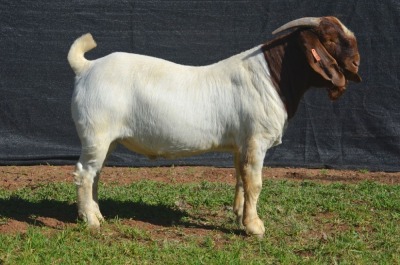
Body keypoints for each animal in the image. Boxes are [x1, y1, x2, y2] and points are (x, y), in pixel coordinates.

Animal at [67, 16, 360, 235]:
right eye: (330, 39)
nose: (357, 62)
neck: (271, 77)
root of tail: (86, 67)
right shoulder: (256, 139)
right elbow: (255, 182)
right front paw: (255, 227)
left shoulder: (241, 144)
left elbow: (241, 178)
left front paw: (239, 216)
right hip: (96, 133)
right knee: (84, 173)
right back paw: (90, 221)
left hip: (107, 139)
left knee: (96, 173)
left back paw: (97, 214)